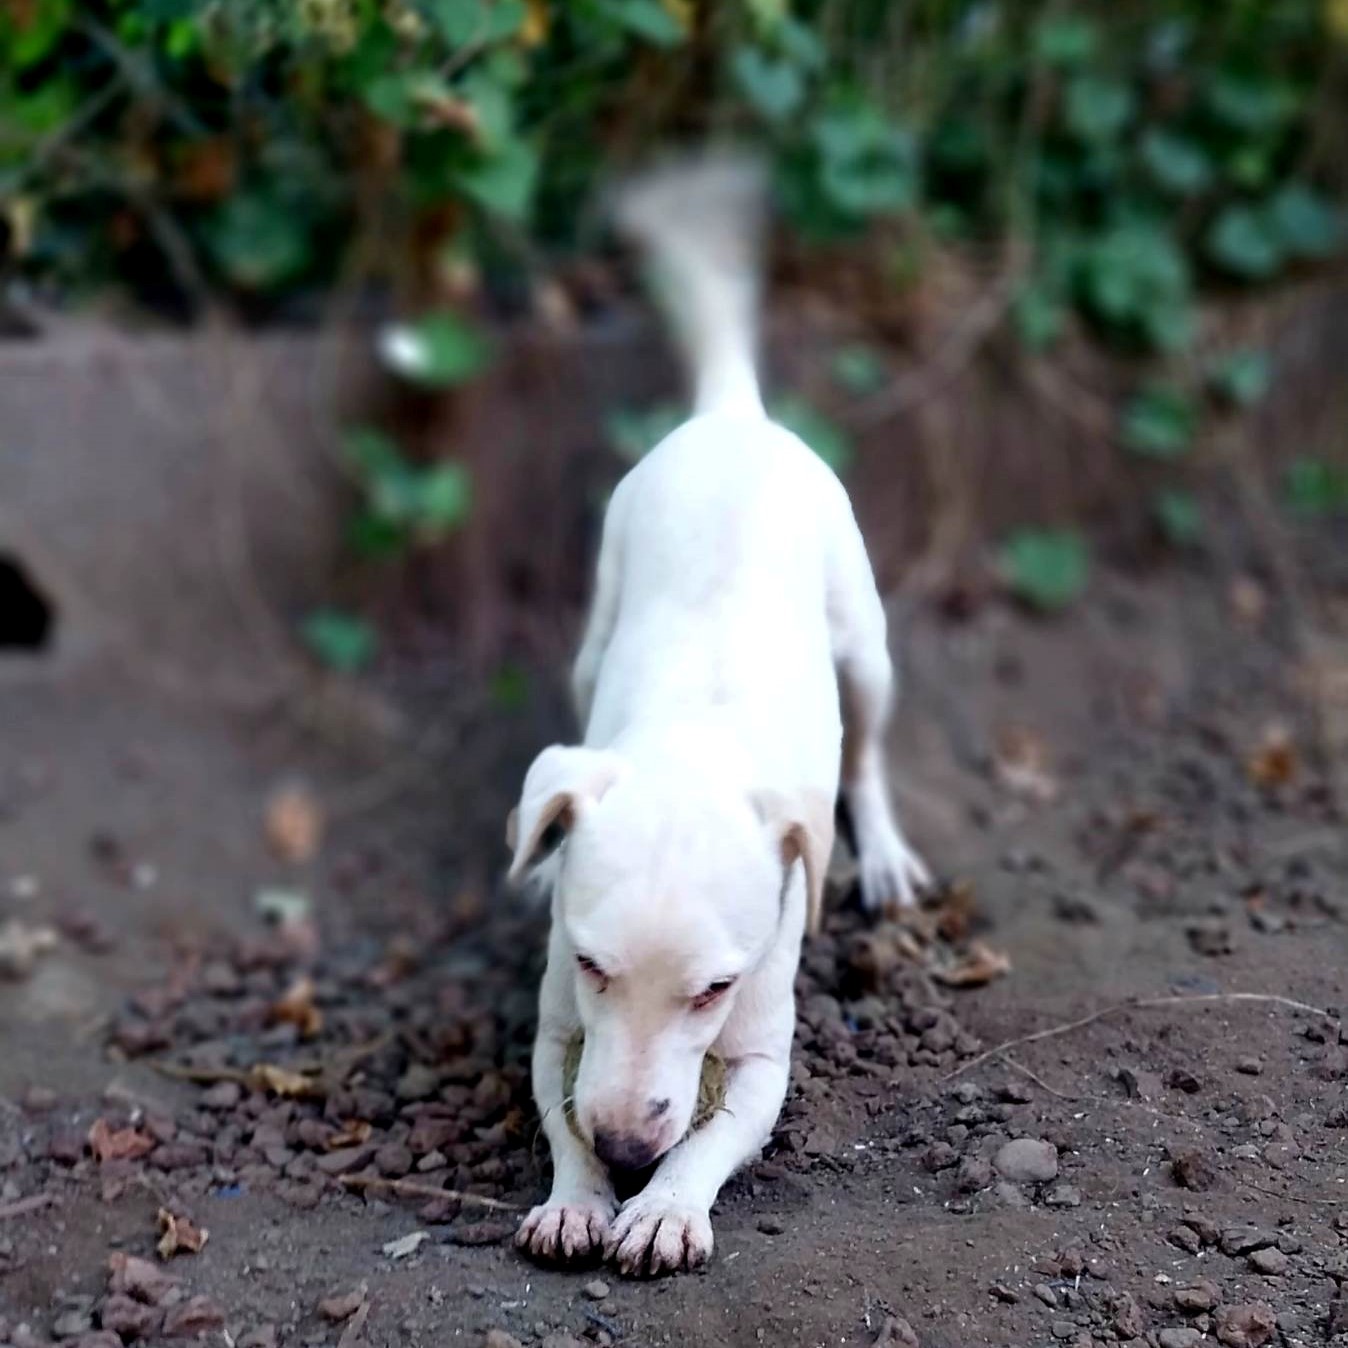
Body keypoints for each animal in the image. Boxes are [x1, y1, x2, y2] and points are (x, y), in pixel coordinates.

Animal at [506, 155, 927, 1272]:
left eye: (713, 988)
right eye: (590, 962)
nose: (625, 1147)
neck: (694, 748)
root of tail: (735, 416)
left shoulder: (766, 1057)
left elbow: (713, 1137)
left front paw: (661, 1205)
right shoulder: (554, 1031)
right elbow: (557, 1104)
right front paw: (577, 1194)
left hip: (868, 651)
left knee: (869, 757)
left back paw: (882, 854)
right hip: (592, 639)